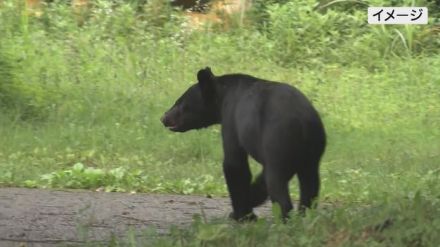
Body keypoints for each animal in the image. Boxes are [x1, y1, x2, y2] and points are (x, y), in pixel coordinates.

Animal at [162, 67, 326, 220]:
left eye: (179, 102)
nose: (163, 117)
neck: (223, 94)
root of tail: (303, 122)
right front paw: (251, 200)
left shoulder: (231, 119)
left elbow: (234, 164)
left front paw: (241, 214)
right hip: (312, 152)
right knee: (310, 186)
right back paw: (305, 216)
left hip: (278, 140)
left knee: (277, 183)